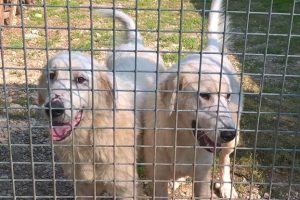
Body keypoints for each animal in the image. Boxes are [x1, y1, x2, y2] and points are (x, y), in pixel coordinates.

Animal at [143, 0, 244, 198]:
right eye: (204, 95)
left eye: (227, 96)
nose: (229, 133)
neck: (183, 139)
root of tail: (210, 50)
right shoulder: (157, 177)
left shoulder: (202, 176)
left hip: (233, 137)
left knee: (225, 159)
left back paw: (226, 186)